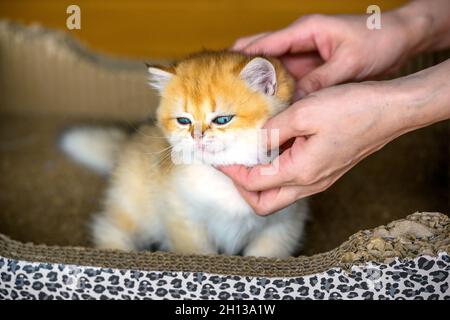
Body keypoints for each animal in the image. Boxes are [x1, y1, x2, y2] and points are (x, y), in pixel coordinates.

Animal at [60, 51, 310, 258]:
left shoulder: (285, 224)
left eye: (222, 119)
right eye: (183, 120)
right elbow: (200, 252)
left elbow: (266, 255)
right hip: (134, 207)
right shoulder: (182, 217)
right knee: (107, 227)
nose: (196, 136)